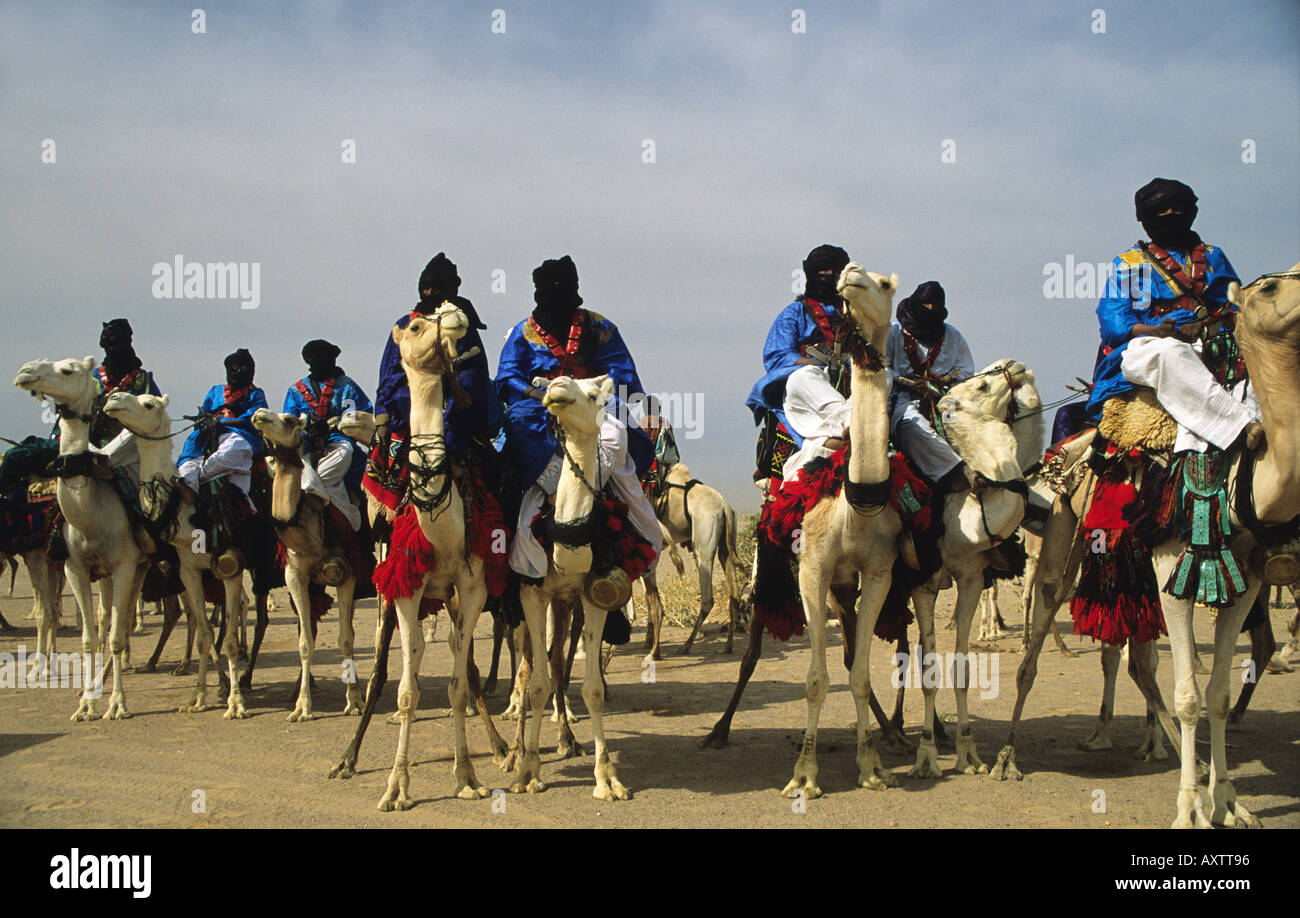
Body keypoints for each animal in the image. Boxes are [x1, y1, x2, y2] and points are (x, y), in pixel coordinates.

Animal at [13, 353, 147, 717]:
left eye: (67, 370)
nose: (25, 372)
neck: (90, 514)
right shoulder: (73, 565)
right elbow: (88, 638)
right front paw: (86, 703)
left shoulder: (126, 563)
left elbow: (116, 635)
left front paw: (117, 704)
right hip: (100, 572)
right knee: (104, 620)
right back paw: (96, 683)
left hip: (141, 565)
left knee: (121, 623)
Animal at [100, 390, 246, 712]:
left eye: (148, 404)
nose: (113, 398)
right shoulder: (189, 570)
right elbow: (204, 633)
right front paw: (199, 698)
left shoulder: (230, 569)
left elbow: (227, 637)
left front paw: (235, 703)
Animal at [642, 468, 743, 655]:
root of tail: (724, 505)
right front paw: (649, 640)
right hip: (726, 545)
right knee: (735, 596)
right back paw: (727, 646)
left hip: (702, 546)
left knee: (707, 599)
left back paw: (686, 645)